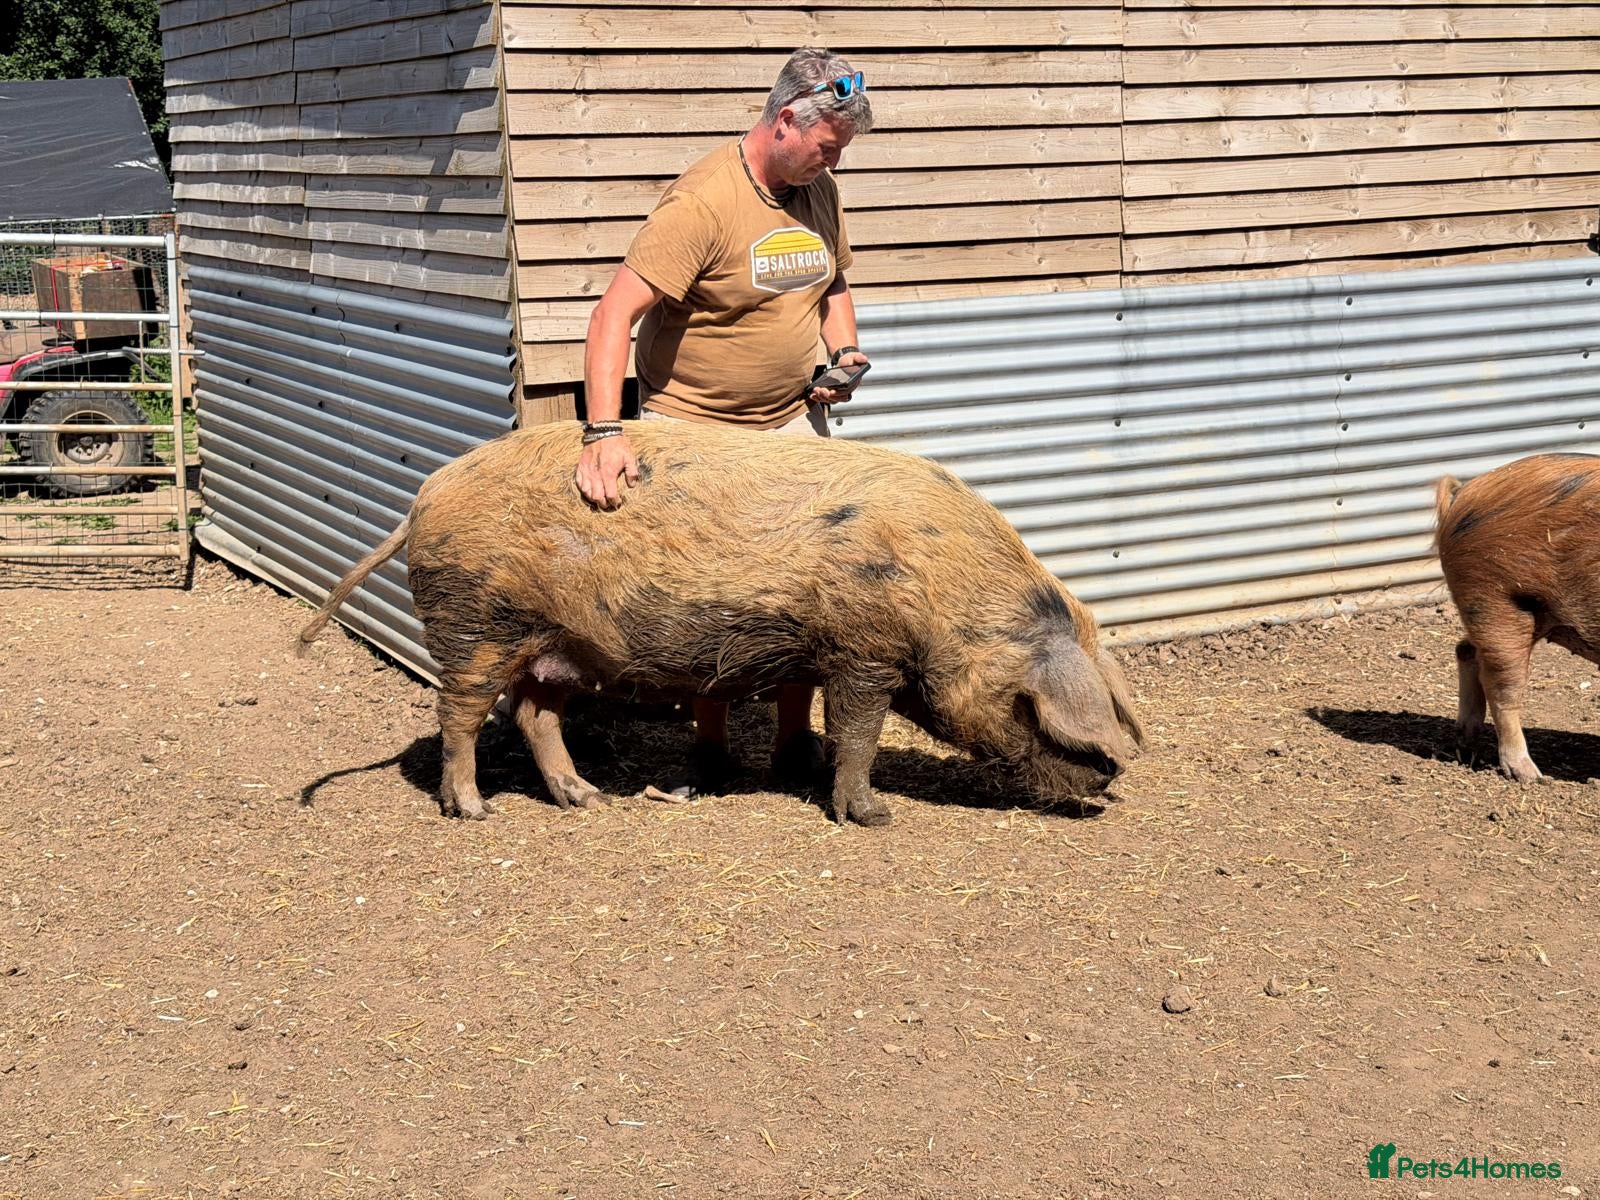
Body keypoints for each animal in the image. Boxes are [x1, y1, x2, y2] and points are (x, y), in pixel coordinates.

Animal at [299, 420, 1145, 824]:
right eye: (1047, 721)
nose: (1111, 783)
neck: (944, 594)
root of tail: (421, 500)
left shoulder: (823, 653)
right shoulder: (862, 651)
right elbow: (861, 733)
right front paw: (873, 817)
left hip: (557, 646)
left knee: (537, 716)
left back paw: (587, 801)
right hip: (476, 624)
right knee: (459, 717)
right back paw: (473, 812)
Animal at [1435, 452, 1600, 782]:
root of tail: (1461, 495)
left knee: (1466, 650)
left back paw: (1468, 751)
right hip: (1495, 601)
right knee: (1501, 687)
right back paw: (1529, 776)